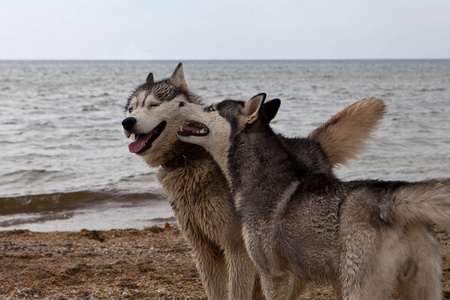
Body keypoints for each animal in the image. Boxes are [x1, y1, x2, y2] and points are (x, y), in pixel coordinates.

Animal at [122, 64, 386, 298]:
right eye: (131, 108)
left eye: (153, 104)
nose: (127, 122)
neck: (189, 160)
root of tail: (312, 143)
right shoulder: (203, 251)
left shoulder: (237, 250)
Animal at [178, 92, 450, 298]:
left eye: (210, 107)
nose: (180, 103)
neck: (260, 178)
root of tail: (389, 198)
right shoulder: (291, 276)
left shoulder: (272, 275)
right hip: (422, 287)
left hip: (359, 288)